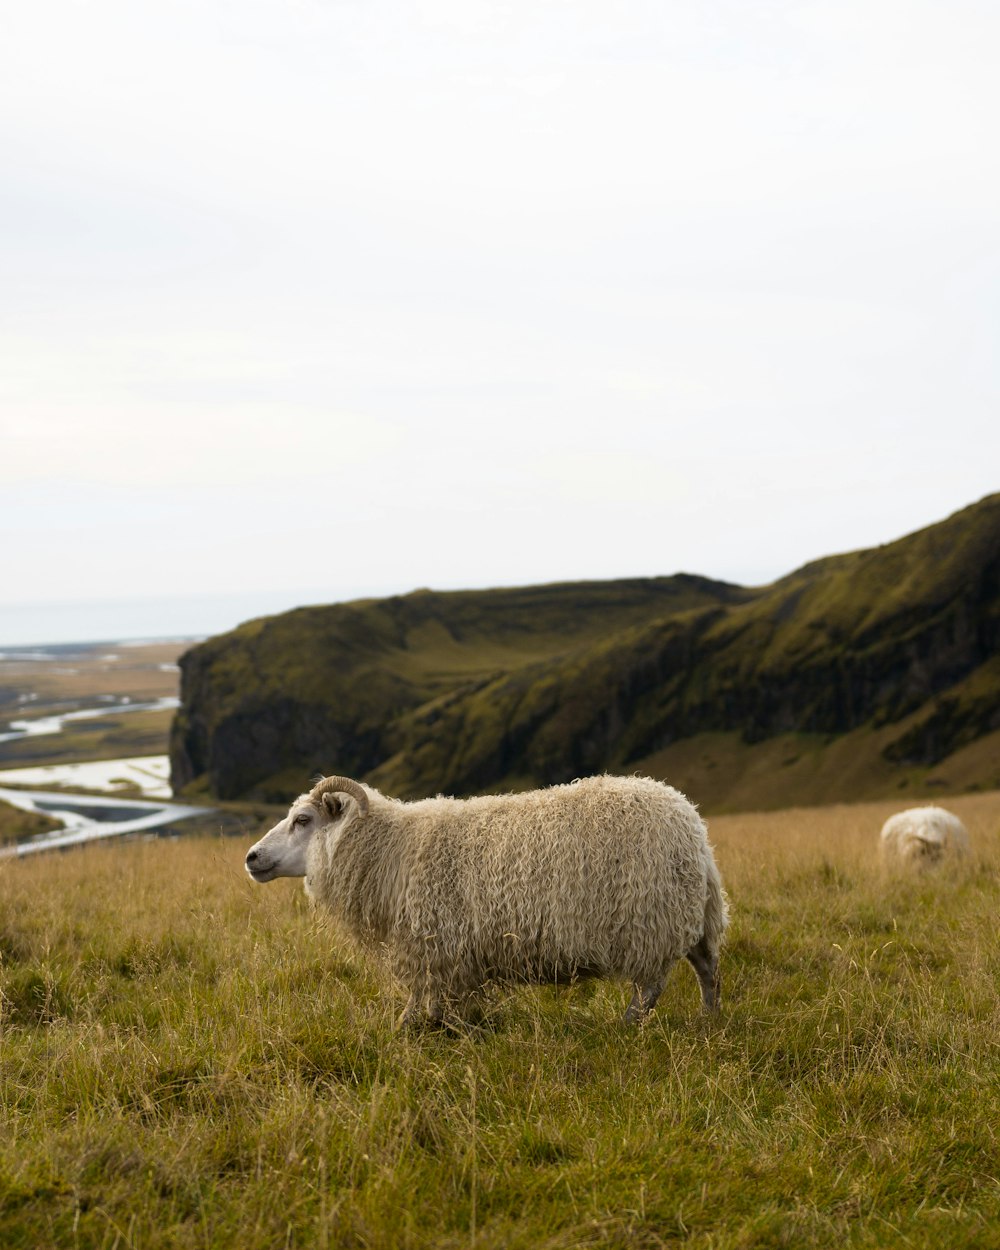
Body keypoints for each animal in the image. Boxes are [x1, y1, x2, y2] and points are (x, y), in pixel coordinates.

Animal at [242, 770, 725, 1025]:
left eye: (303, 820)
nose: (251, 857)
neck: (392, 849)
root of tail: (691, 823)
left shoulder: (433, 944)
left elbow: (421, 998)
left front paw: (406, 1031)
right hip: (692, 918)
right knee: (708, 971)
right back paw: (709, 1022)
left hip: (649, 921)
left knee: (650, 987)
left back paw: (625, 1027)